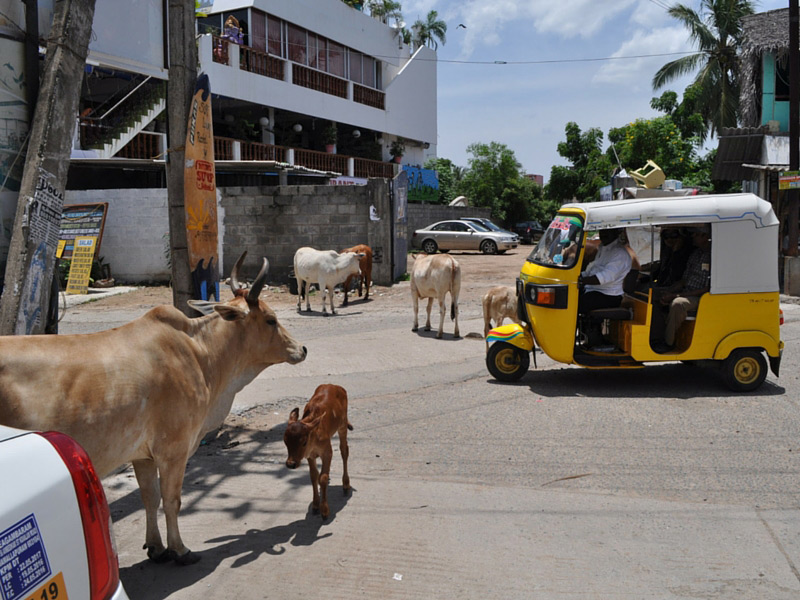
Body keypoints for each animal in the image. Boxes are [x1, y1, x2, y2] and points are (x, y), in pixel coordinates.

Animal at [0, 253, 306, 568]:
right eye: (270, 320)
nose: (302, 349)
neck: (200, 353)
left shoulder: (142, 454)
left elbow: (150, 498)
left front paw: (156, 547)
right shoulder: (173, 450)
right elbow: (172, 500)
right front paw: (179, 549)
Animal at [284, 386, 354, 516]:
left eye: (304, 442)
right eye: (285, 441)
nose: (291, 464)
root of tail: (335, 386)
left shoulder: (327, 452)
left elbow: (323, 477)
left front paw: (325, 510)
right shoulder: (310, 455)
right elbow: (313, 476)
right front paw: (315, 505)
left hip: (342, 425)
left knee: (344, 450)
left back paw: (346, 484)